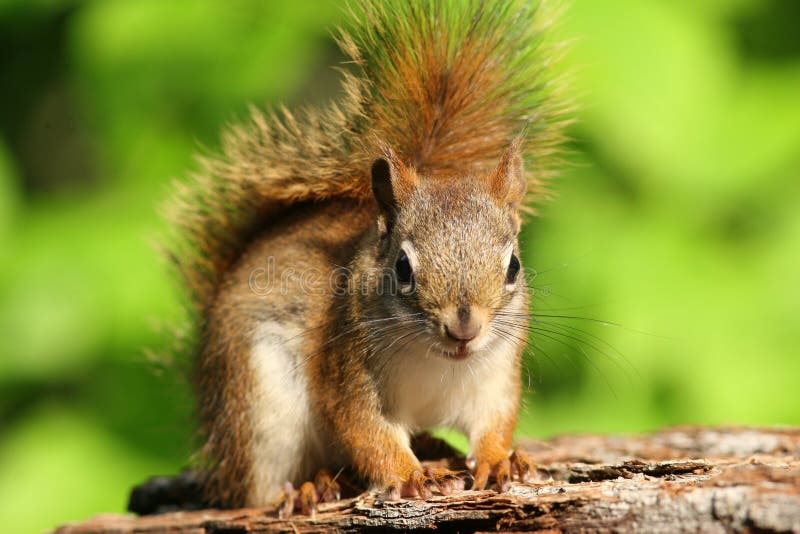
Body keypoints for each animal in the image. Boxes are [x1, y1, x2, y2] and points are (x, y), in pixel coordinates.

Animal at [162, 0, 568, 513]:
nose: (464, 329)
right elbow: (365, 431)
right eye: (402, 268)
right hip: (259, 407)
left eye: (513, 266)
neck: (438, 362)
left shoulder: (495, 375)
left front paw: (500, 460)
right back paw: (310, 487)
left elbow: (495, 421)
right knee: (257, 489)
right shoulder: (348, 368)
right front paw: (411, 476)